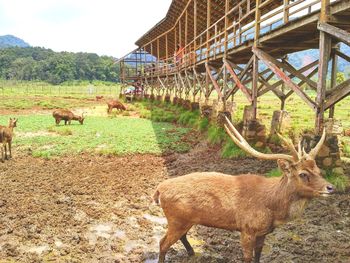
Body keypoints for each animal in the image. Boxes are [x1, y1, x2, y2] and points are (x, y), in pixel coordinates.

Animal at [154, 118, 334, 263]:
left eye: (319, 170)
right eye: (303, 174)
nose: (331, 188)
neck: (273, 210)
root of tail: (159, 189)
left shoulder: (263, 232)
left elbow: (258, 256)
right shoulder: (247, 229)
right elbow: (247, 258)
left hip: (185, 220)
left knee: (181, 237)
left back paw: (192, 253)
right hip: (176, 219)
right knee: (163, 243)